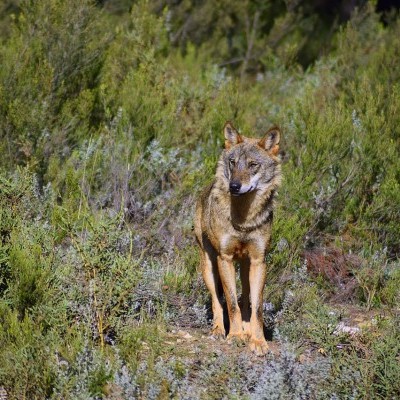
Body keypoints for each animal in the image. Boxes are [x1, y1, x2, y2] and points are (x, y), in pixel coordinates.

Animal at [194, 121, 282, 354]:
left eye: (253, 165)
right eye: (233, 163)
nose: (234, 186)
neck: (244, 220)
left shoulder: (259, 260)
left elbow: (256, 307)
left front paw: (258, 340)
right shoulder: (225, 258)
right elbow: (231, 303)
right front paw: (234, 336)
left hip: (245, 266)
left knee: (246, 301)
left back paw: (247, 329)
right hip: (209, 266)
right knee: (217, 300)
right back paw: (218, 330)